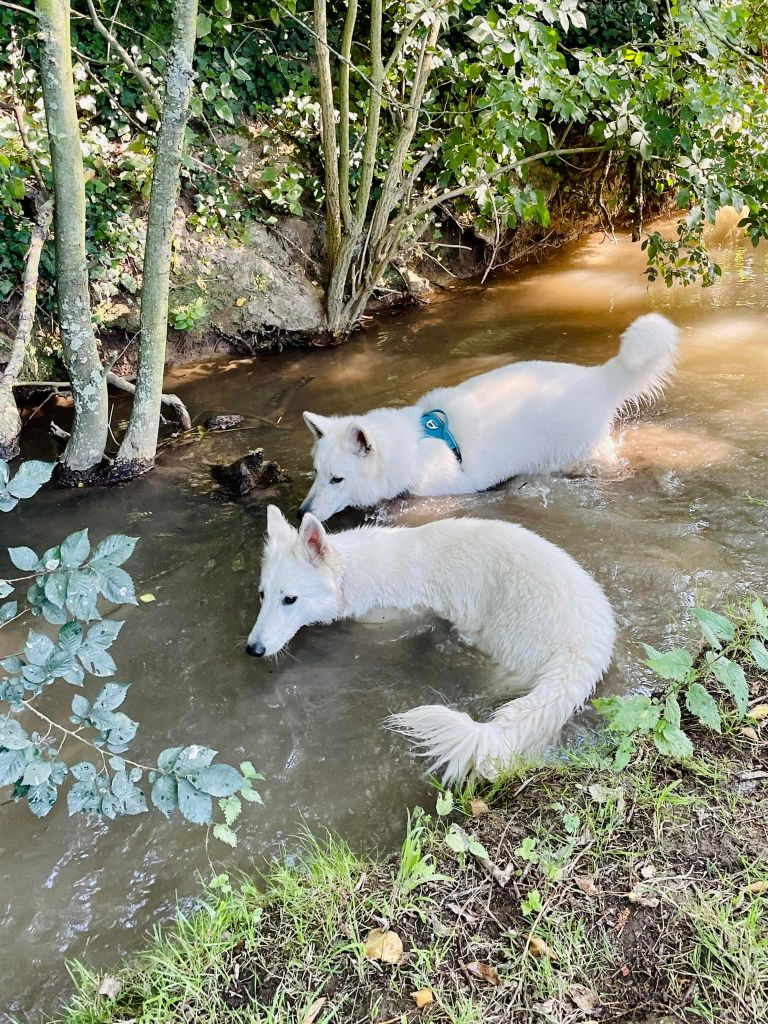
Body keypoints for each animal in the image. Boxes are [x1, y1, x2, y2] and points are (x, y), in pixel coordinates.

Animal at [249, 505, 618, 782]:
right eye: (263, 595)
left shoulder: (387, 619)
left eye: (290, 599)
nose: (252, 650)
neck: (348, 574)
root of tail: (585, 650)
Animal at [296, 311, 684, 520]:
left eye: (337, 479)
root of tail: (598, 378)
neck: (414, 449)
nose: (301, 513)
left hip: (580, 457)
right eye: (316, 473)